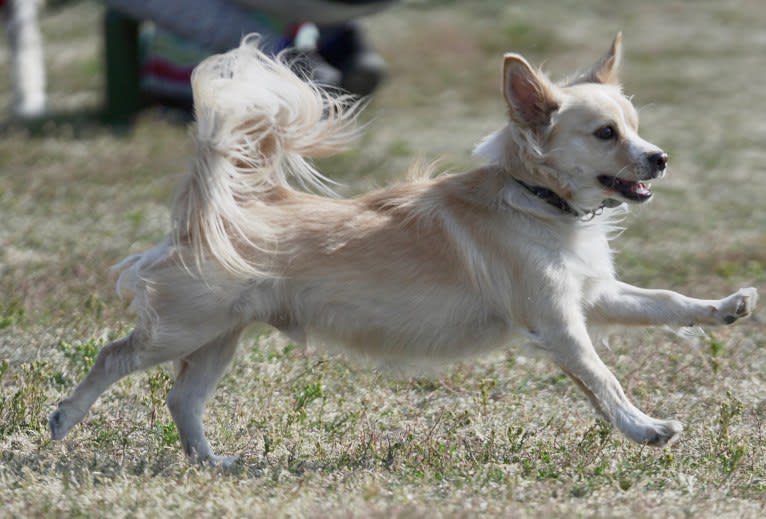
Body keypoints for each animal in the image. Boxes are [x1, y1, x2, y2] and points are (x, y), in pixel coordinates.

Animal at [49, 33, 760, 464]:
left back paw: (210, 461)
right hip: (185, 326)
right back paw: (64, 418)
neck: (536, 201)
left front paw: (725, 307)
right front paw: (645, 428)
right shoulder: (559, 324)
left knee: (182, 397)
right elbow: (603, 377)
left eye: (638, 128)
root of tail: (229, 208)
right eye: (607, 134)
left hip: (222, 334)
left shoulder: (597, 296)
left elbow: (666, 301)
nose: (660, 158)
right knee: (116, 356)